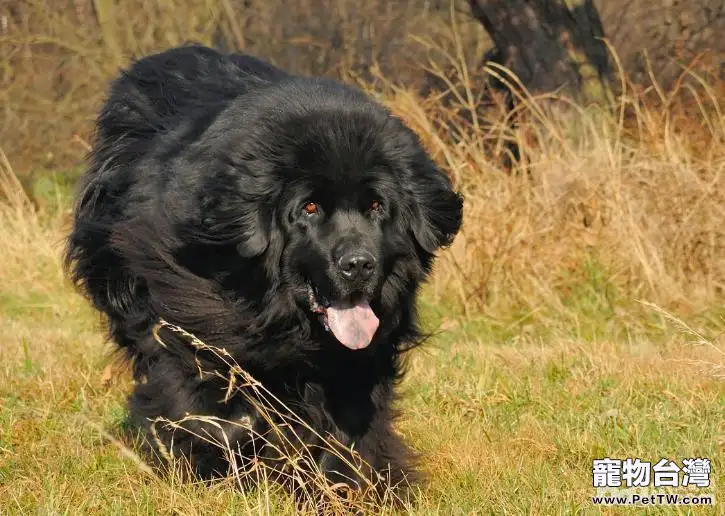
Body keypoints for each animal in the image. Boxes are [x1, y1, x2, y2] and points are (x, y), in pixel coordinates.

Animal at [66, 44, 464, 504]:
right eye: (309, 207)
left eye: (376, 206)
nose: (359, 263)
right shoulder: (187, 306)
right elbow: (202, 392)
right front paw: (216, 457)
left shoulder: (363, 357)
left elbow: (350, 419)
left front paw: (351, 484)